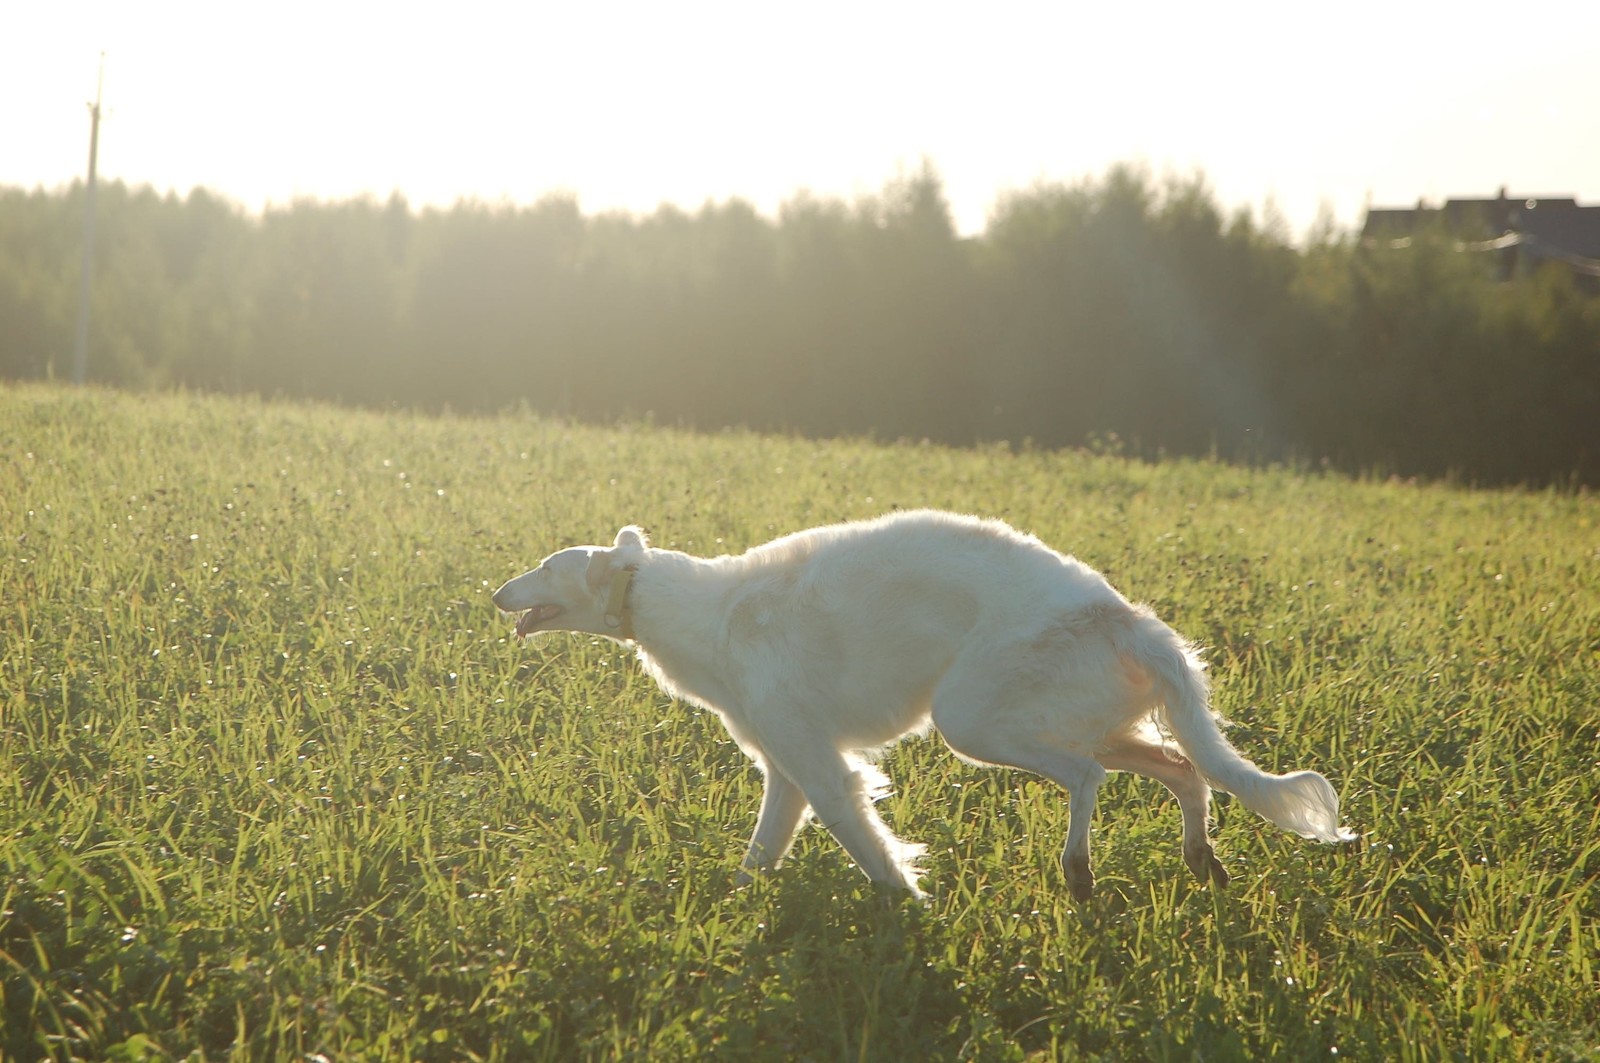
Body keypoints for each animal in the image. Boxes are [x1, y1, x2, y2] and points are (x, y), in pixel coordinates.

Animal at [489, 505, 1350, 896]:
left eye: (545, 564)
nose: (495, 592)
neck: (702, 608)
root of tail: (1128, 617)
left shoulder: (817, 765)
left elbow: (867, 844)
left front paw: (906, 903)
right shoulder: (785, 764)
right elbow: (759, 856)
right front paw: (732, 908)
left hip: (976, 716)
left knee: (1088, 778)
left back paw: (1078, 869)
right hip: (1091, 716)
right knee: (1185, 770)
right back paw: (1202, 859)